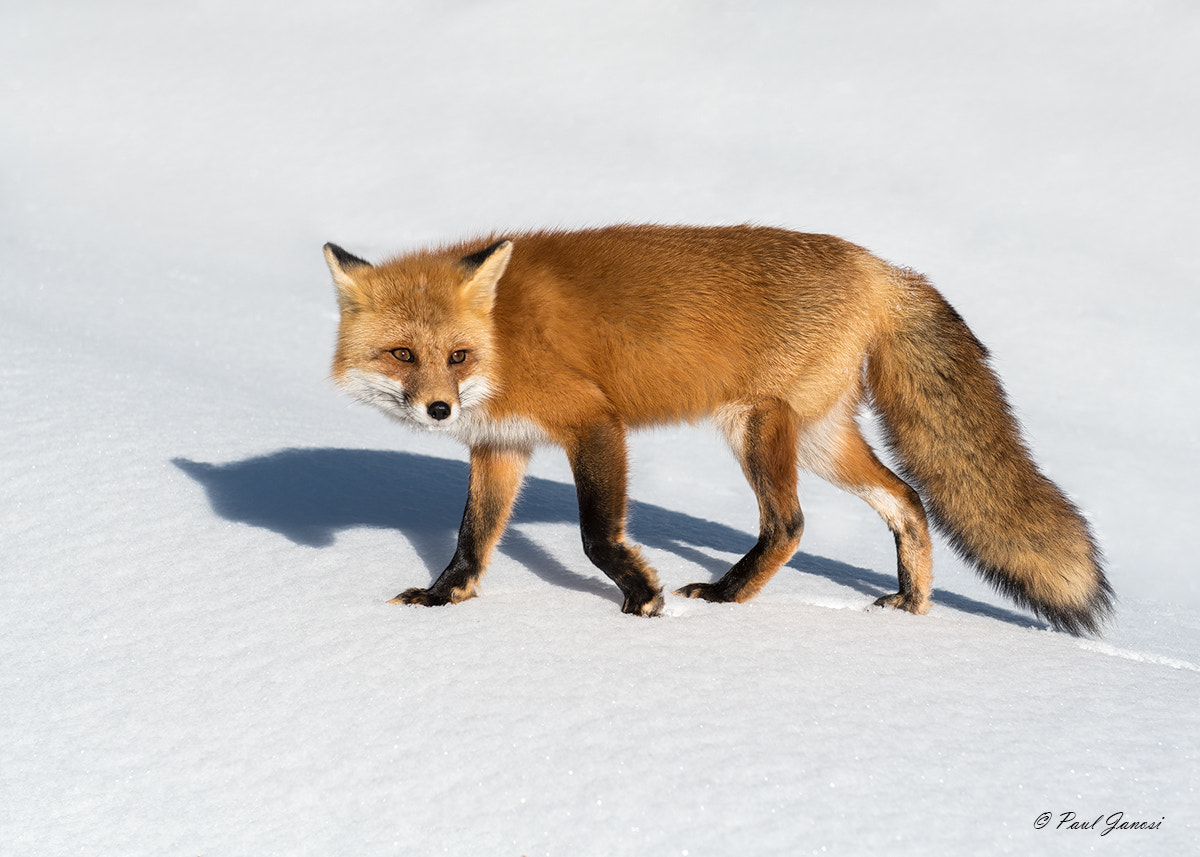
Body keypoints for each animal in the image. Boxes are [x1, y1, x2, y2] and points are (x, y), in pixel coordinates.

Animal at [324, 224, 1112, 635]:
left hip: (755, 423)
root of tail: (881, 266)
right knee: (909, 500)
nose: (438, 410)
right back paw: (911, 607)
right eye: (402, 355)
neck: (504, 340)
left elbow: (597, 534)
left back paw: (731, 595)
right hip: (821, 440)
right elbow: (472, 536)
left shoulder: (592, 420)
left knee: (790, 523)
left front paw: (642, 597)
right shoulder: (502, 445)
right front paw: (443, 599)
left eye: (455, 357)